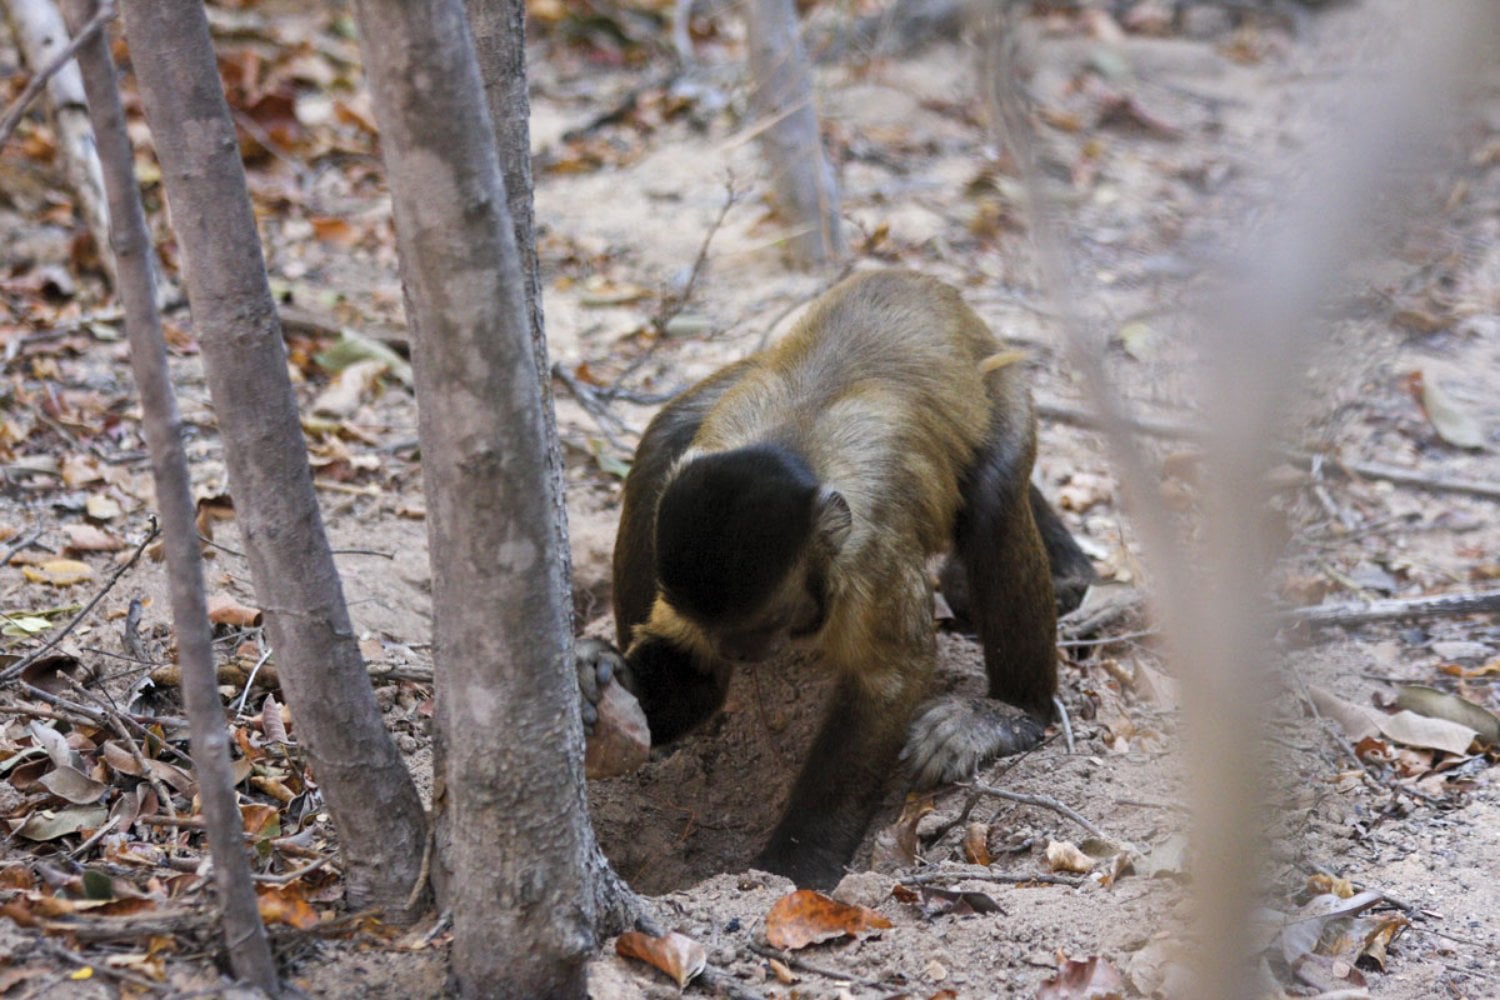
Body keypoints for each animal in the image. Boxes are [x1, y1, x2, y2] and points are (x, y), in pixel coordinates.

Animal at [577, 269, 1095, 888]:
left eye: (771, 620)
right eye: (725, 633)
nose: (742, 653)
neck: (798, 451)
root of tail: (923, 284)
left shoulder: (869, 557)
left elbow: (888, 681)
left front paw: (795, 863)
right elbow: (695, 671)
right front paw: (600, 674)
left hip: (1004, 383)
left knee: (993, 495)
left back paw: (1013, 714)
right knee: (662, 437)